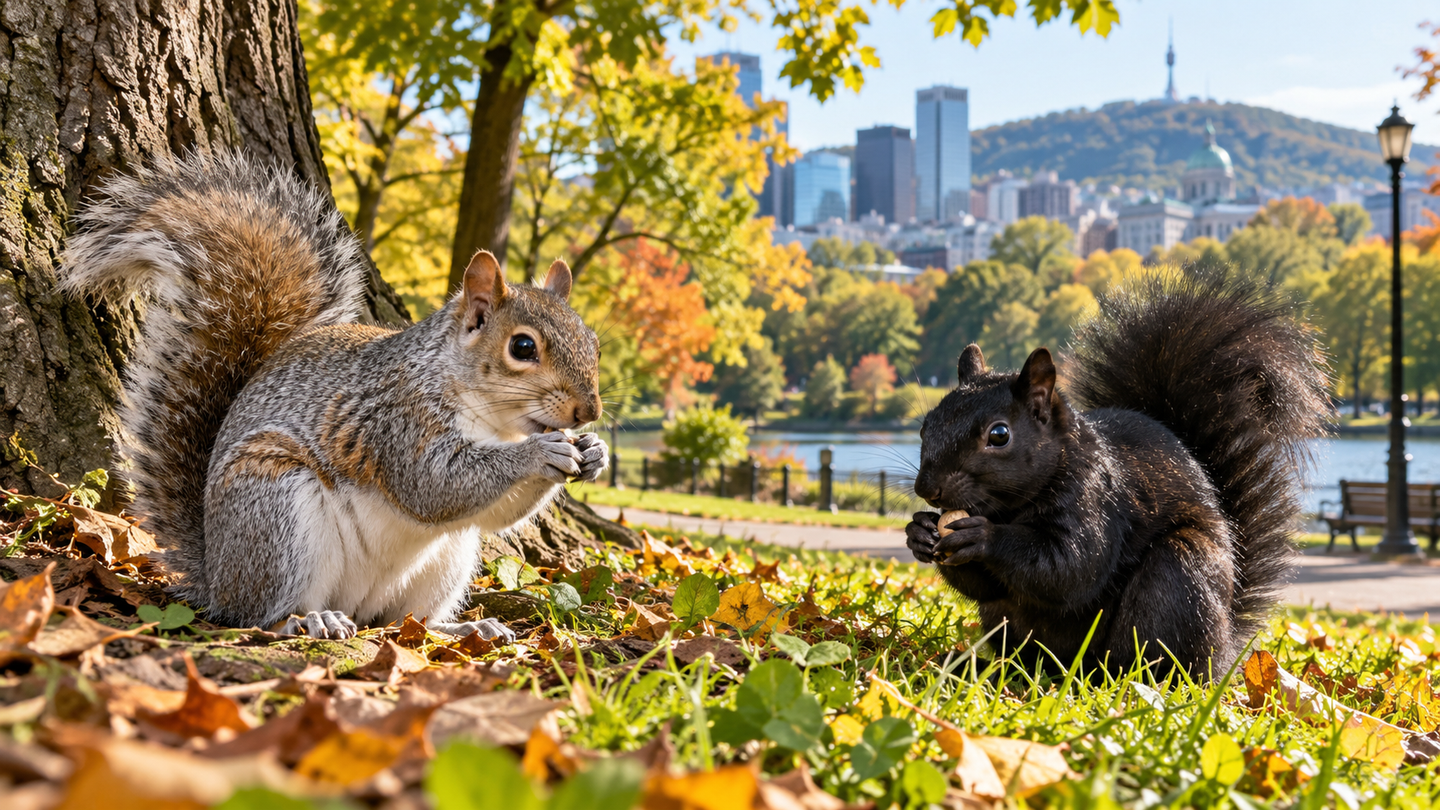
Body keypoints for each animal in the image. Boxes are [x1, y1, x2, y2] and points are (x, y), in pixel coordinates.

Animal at [59, 152, 609, 640]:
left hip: (447, 560)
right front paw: (539, 453)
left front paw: (594, 452)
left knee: (406, 621)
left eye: (593, 341)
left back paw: (461, 627)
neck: (491, 419)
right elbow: (435, 486)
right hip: (277, 512)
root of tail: (216, 575)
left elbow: (493, 514)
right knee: (257, 614)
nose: (589, 411)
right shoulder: (399, 419)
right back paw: (306, 621)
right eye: (523, 347)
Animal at [905, 270, 1329, 677]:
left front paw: (984, 536)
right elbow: (988, 586)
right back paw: (991, 670)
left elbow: (1071, 567)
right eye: (925, 426)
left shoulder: (1097, 498)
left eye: (999, 435)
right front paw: (919, 531)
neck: (1011, 507)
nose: (927, 488)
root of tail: (1224, 650)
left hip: (1179, 575)